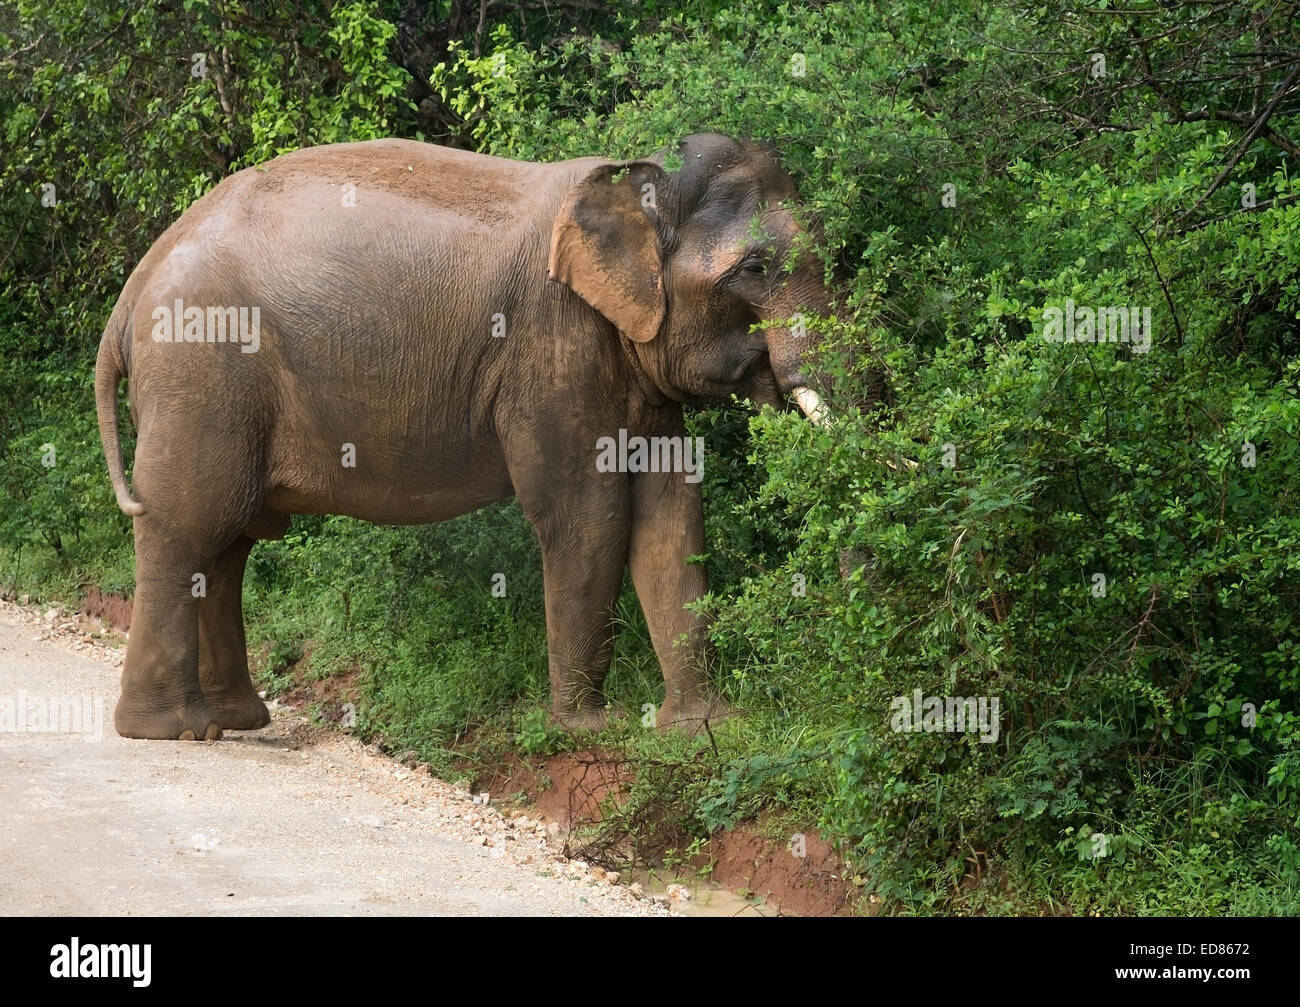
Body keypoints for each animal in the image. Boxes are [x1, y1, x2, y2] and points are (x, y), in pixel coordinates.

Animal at [98, 131, 832, 738]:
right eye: (755, 269)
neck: (638, 184)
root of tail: (133, 287)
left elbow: (672, 513)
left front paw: (706, 726)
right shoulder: (549, 346)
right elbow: (585, 515)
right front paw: (589, 728)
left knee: (225, 545)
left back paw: (235, 719)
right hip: (202, 371)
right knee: (189, 526)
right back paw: (173, 731)